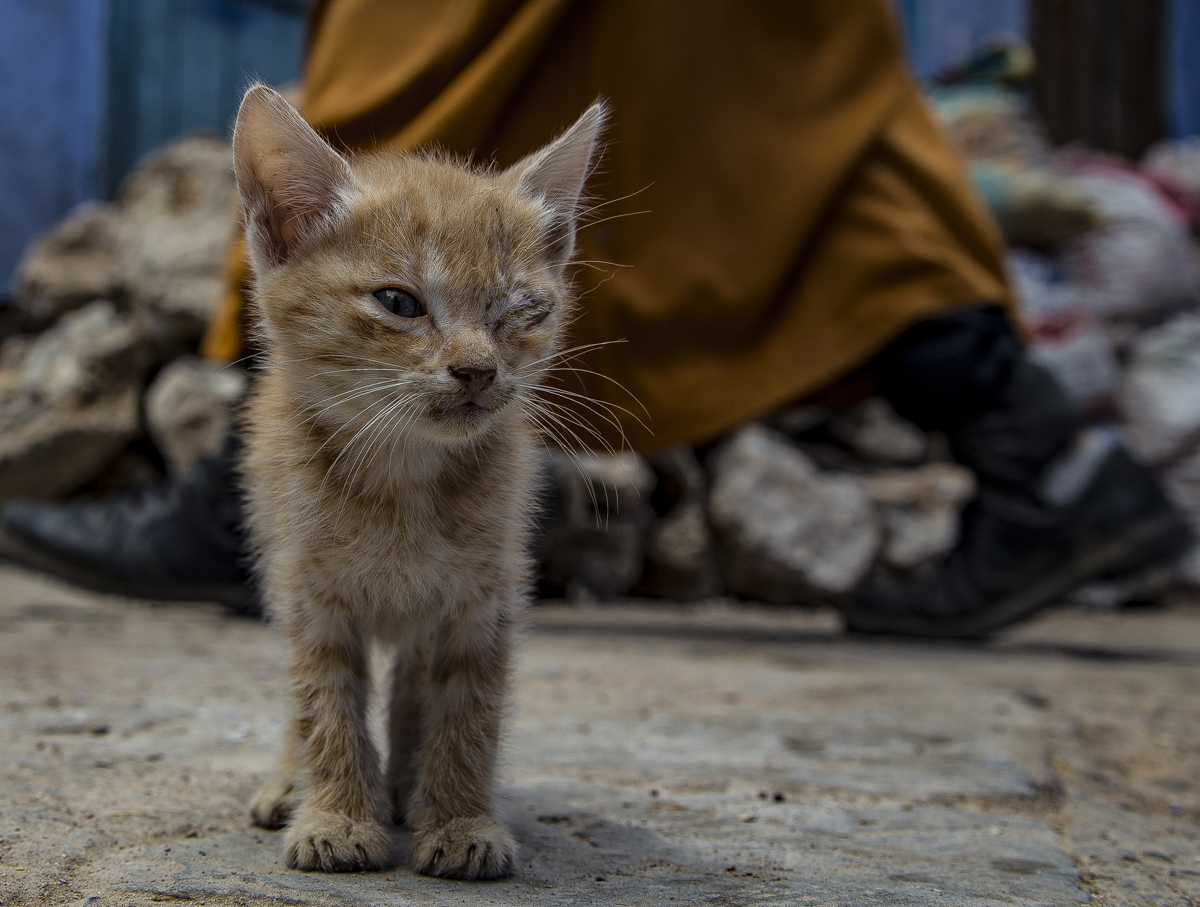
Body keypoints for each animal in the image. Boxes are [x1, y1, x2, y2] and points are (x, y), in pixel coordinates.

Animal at [231, 86, 609, 878]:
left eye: (521, 309)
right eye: (399, 303)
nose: (477, 370)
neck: (404, 478)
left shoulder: (484, 594)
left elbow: (467, 710)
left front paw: (461, 816)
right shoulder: (309, 592)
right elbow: (323, 701)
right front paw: (338, 813)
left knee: (411, 682)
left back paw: (407, 784)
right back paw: (294, 782)